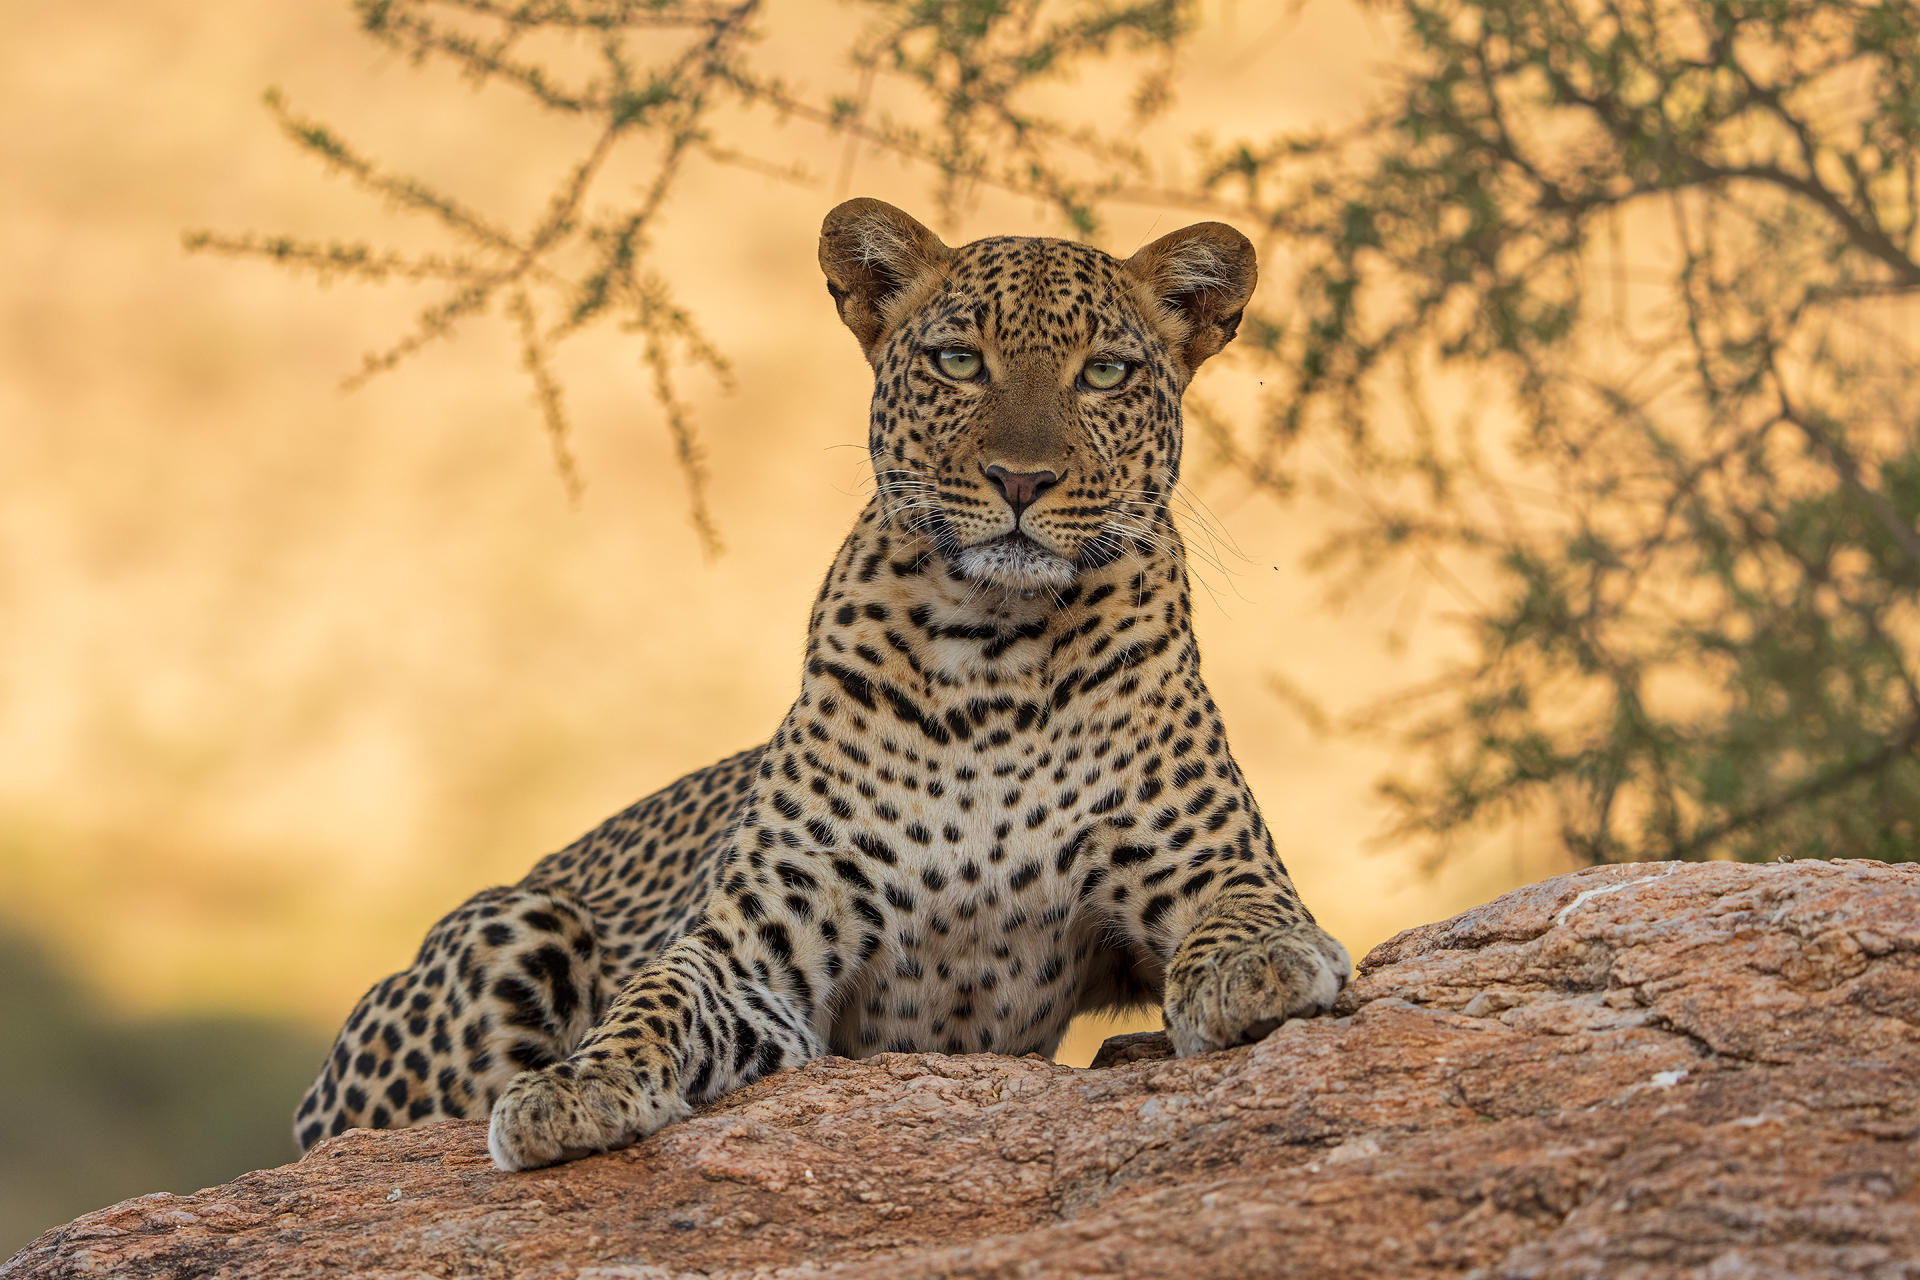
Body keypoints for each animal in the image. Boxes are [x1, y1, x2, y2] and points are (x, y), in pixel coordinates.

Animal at [293, 197, 1353, 1171]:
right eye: (958, 362)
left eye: (1104, 373)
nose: (1020, 479)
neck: (996, 656)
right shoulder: (755, 945)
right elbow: (655, 996)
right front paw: (578, 1086)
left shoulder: (1217, 863)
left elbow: (1250, 913)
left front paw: (1259, 970)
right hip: (515, 921)